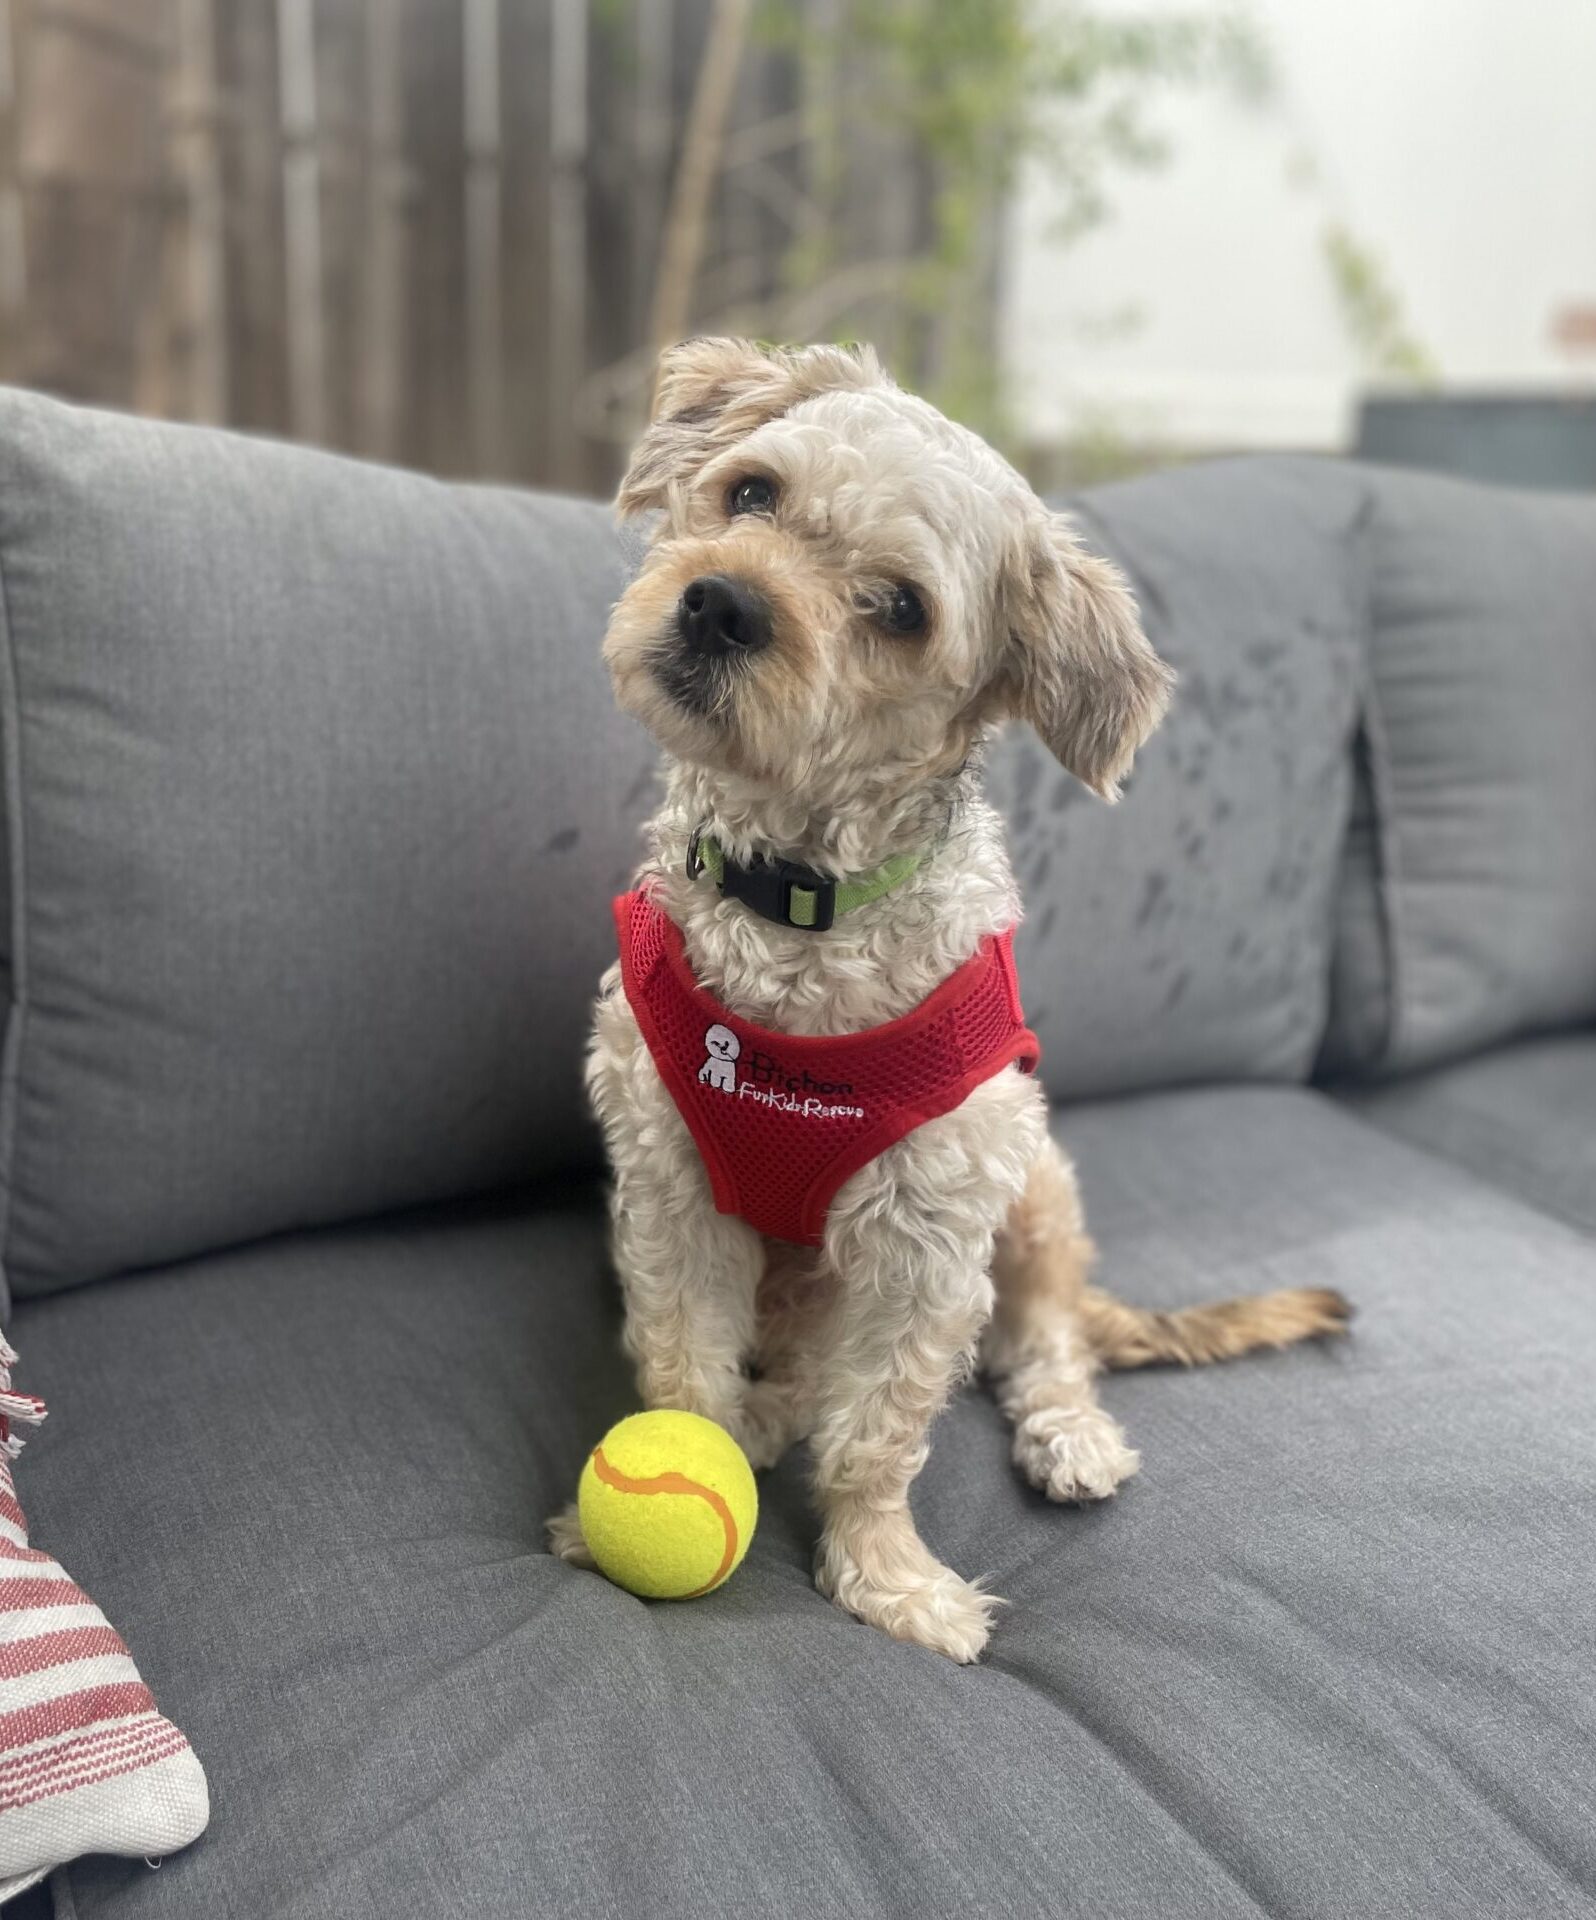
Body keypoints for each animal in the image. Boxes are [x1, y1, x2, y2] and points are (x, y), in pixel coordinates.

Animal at [550, 337, 1349, 1662]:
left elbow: (881, 1431)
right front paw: (684, 1461)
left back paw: (1067, 1432)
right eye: (752, 492)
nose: (721, 603)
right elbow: (683, 1371)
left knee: (1046, 1346)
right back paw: (770, 1417)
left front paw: (887, 1576)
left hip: (1035, 1191)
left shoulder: (928, 1242)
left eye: (899, 609)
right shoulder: (671, 1189)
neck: (798, 910)